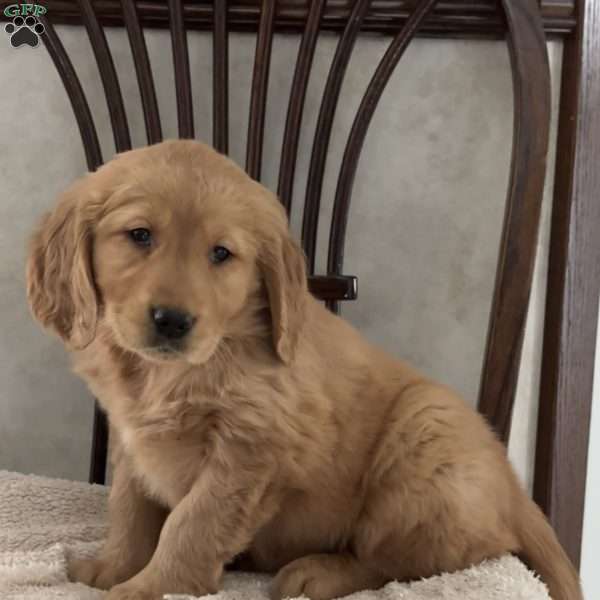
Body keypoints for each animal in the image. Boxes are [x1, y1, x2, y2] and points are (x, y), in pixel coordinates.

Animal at [24, 139, 580, 600]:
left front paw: (149, 588)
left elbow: (192, 523)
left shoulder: (252, 450)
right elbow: (130, 508)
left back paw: (318, 573)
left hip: (423, 444)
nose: (173, 321)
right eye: (139, 235)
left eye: (221, 253)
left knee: (416, 559)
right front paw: (114, 567)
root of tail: (516, 491)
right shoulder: (133, 436)